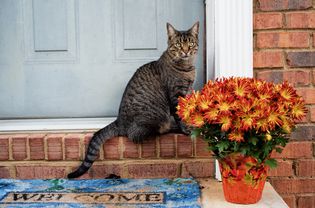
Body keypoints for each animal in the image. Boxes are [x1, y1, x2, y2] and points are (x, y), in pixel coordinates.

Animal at [67, 21, 199, 179]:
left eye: (190, 43)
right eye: (178, 45)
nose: (185, 51)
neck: (186, 68)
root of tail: (119, 121)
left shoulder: (187, 92)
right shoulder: (175, 94)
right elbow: (179, 114)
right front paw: (185, 129)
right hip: (153, 119)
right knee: (142, 133)